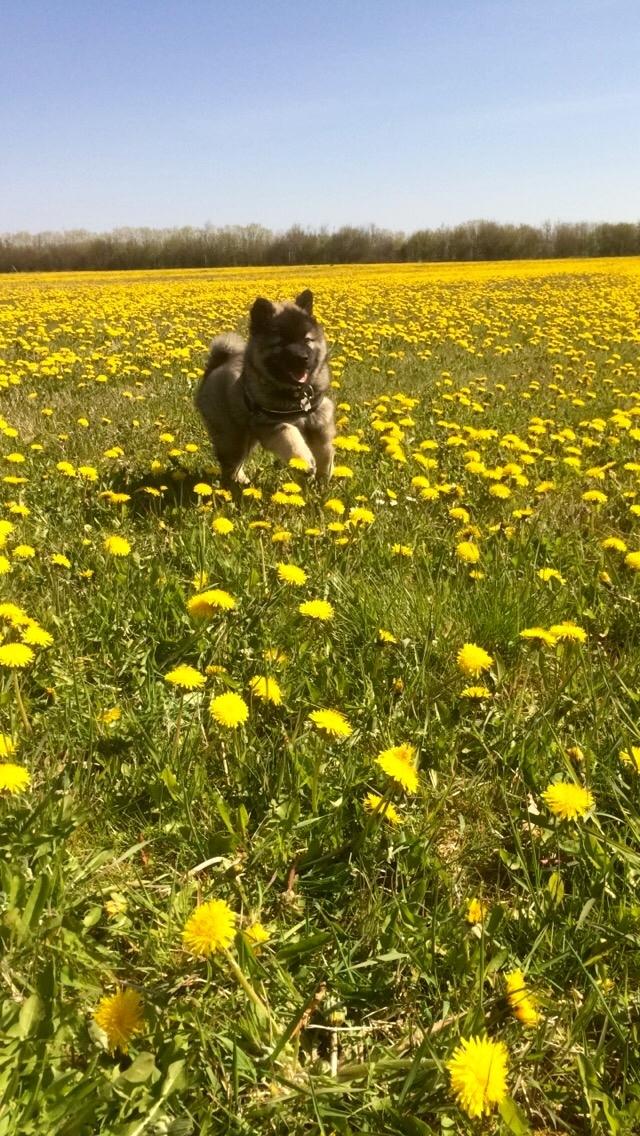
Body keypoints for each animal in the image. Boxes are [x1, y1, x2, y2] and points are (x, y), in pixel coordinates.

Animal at [194, 288, 336, 483]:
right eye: (281, 343)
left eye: (307, 340)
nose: (303, 358)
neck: (295, 395)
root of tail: (216, 365)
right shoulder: (270, 424)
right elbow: (290, 436)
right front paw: (304, 462)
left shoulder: (319, 418)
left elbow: (324, 449)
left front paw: (323, 476)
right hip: (231, 436)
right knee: (231, 463)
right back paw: (238, 483)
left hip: (248, 438)